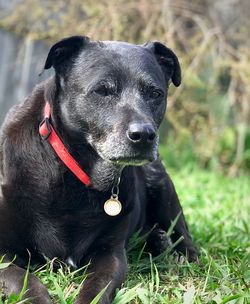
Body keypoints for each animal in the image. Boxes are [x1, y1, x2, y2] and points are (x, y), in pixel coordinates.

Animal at [0, 36, 197, 302]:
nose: (144, 135)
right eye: (102, 91)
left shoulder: (110, 255)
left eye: (155, 93)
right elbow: (26, 281)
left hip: (163, 186)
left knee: (183, 234)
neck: (75, 174)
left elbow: (96, 289)